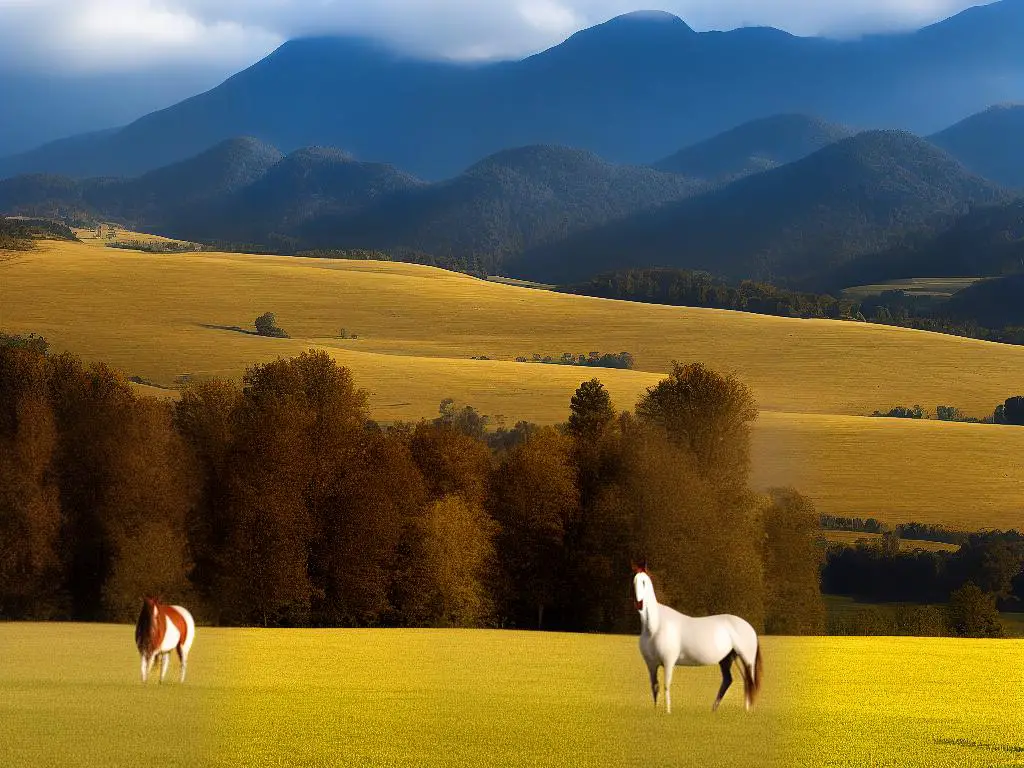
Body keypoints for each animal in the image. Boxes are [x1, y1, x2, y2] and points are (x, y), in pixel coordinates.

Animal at [630, 565, 761, 716]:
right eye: (633, 581)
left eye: (644, 582)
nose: (639, 603)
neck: (655, 627)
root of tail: (749, 627)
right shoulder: (651, 664)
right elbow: (654, 686)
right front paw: (656, 711)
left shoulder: (668, 662)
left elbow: (666, 685)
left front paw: (668, 712)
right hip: (729, 659)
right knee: (734, 680)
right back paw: (721, 710)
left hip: (746, 659)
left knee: (750, 681)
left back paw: (747, 711)